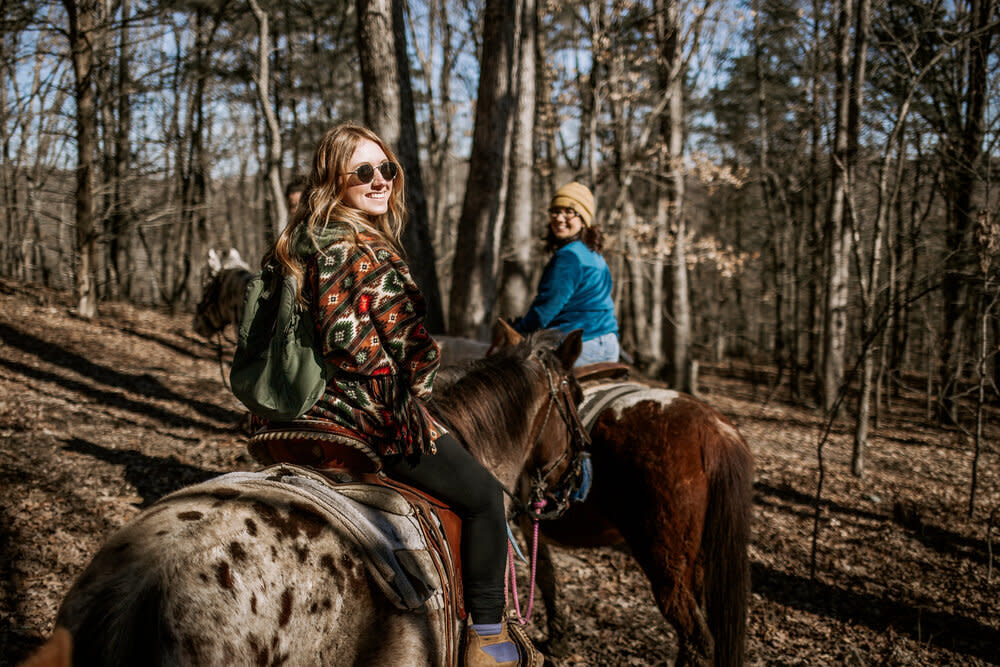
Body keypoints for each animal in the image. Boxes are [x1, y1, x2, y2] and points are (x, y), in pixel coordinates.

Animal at [488, 324, 752, 667]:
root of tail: (715, 431)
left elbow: (541, 573)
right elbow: (545, 573)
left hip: (665, 562)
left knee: (696, 636)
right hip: (695, 560)